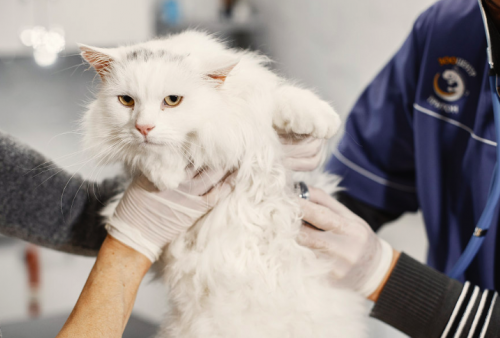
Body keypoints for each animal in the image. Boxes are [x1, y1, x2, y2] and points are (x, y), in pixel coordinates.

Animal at [80, 30, 366, 336]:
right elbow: (149, 155)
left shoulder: (253, 103)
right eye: (126, 101)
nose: (143, 127)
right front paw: (166, 175)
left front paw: (322, 121)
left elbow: (282, 98)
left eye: (172, 100)